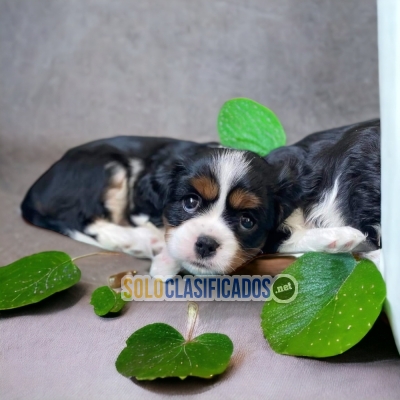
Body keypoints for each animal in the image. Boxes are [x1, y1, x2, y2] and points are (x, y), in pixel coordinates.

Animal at [21, 119, 382, 276]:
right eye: (190, 203)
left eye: (246, 220)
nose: (206, 244)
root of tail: (34, 189)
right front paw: (342, 237)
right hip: (105, 167)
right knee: (81, 218)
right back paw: (138, 240)